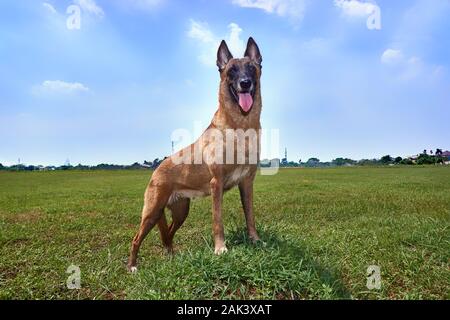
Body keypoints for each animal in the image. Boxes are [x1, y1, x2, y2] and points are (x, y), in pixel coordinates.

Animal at [127, 37, 264, 272]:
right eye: (232, 70)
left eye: (251, 68)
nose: (245, 83)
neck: (241, 125)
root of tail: (156, 170)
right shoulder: (216, 183)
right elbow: (217, 220)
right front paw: (220, 248)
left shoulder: (247, 182)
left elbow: (250, 215)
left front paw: (254, 239)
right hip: (152, 212)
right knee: (136, 239)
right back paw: (133, 267)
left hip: (181, 211)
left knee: (167, 235)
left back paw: (171, 257)